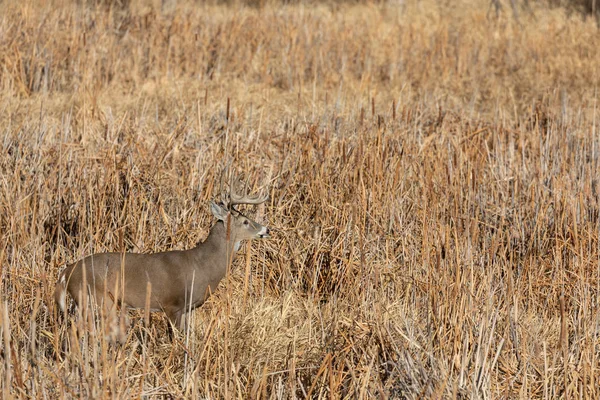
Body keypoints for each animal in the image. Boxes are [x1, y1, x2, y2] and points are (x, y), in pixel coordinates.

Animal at [54, 185, 270, 338]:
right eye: (245, 221)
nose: (266, 229)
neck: (202, 266)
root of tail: (67, 271)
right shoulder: (172, 305)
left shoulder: (187, 309)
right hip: (95, 298)